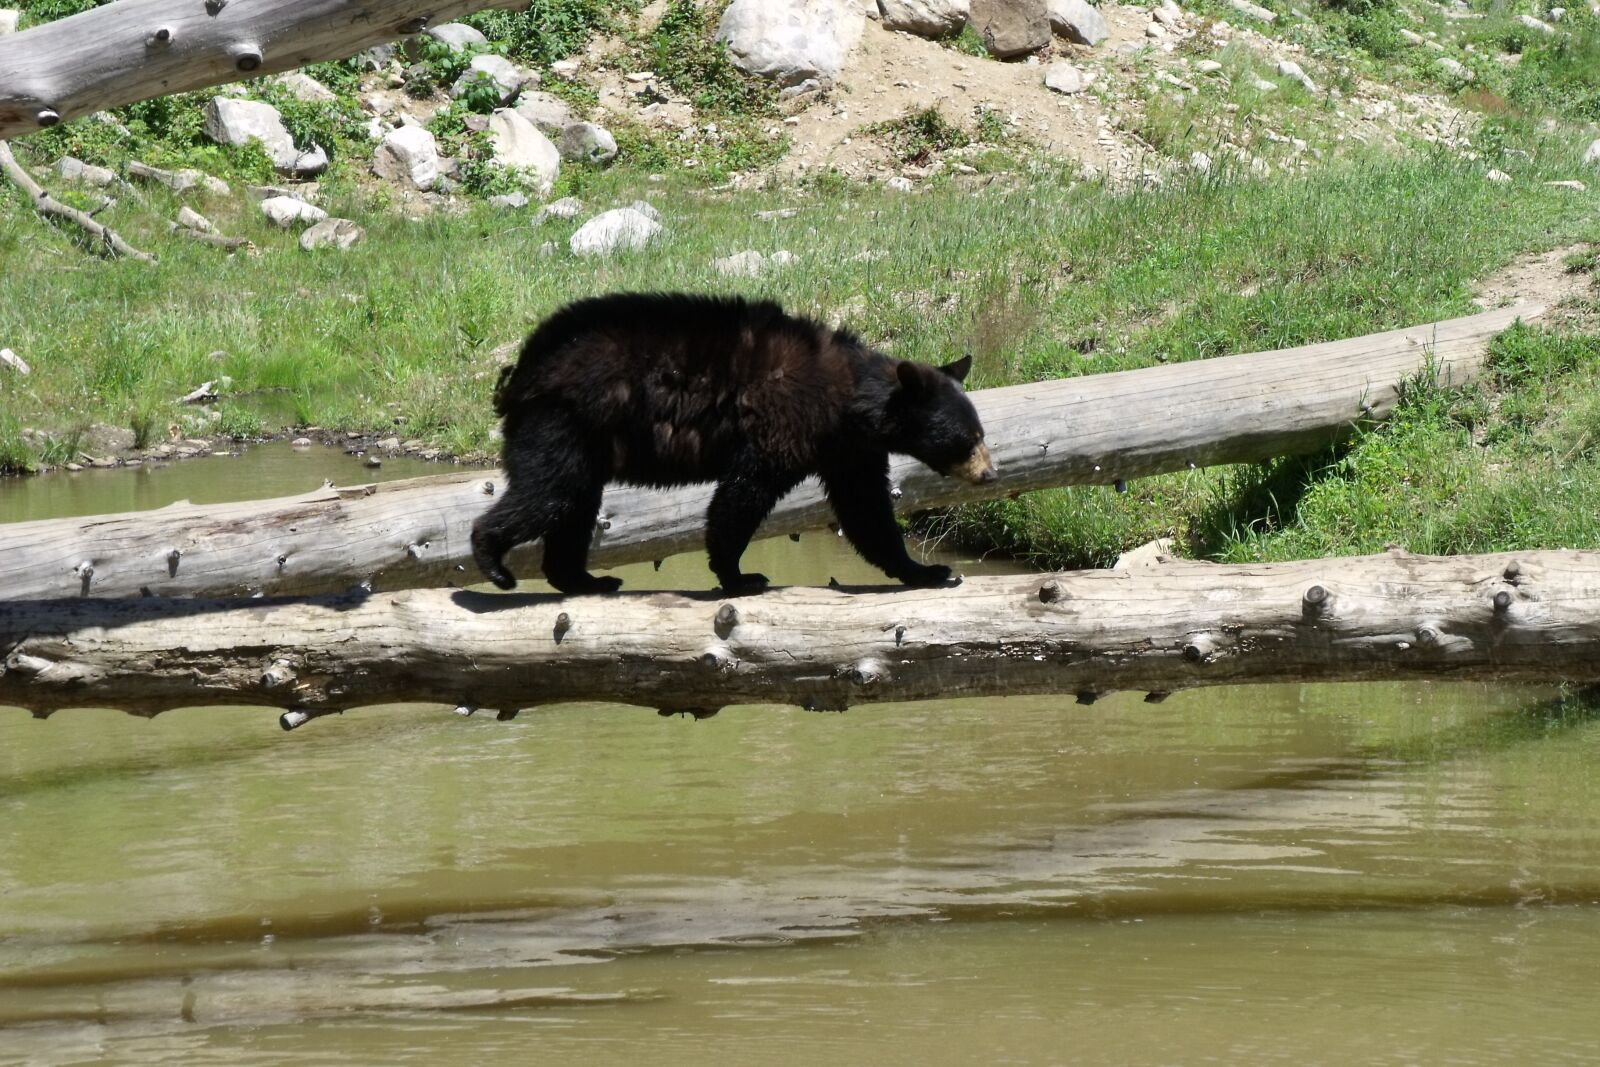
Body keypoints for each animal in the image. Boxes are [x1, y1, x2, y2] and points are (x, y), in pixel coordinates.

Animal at [467, 292, 992, 598]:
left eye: (981, 434)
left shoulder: (849, 449)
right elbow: (743, 495)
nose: (988, 473)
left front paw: (924, 570)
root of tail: (524, 367)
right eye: (967, 438)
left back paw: (583, 577)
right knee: (552, 492)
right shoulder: (784, 422)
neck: (849, 399)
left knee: (574, 501)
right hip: (566, 417)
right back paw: (493, 558)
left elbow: (867, 511)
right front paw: (739, 576)